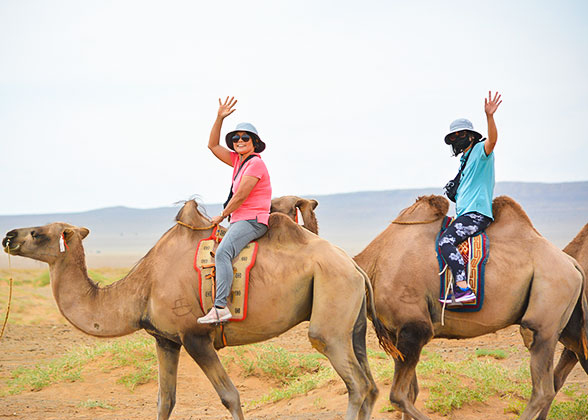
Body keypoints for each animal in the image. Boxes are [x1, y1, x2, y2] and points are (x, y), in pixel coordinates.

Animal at [2, 199, 398, 420]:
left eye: (38, 233)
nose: (8, 236)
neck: (142, 287)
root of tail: (354, 266)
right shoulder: (165, 340)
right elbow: (165, 400)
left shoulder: (194, 336)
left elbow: (230, 396)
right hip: (352, 322)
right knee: (369, 384)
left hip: (330, 309)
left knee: (355, 383)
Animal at [354, 195, 588, 420]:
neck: (374, 266)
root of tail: (573, 264)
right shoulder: (398, 333)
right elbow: (412, 393)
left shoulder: (414, 328)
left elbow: (399, 396)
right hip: (568, 324)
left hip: (547, 313)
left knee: (543, 387)